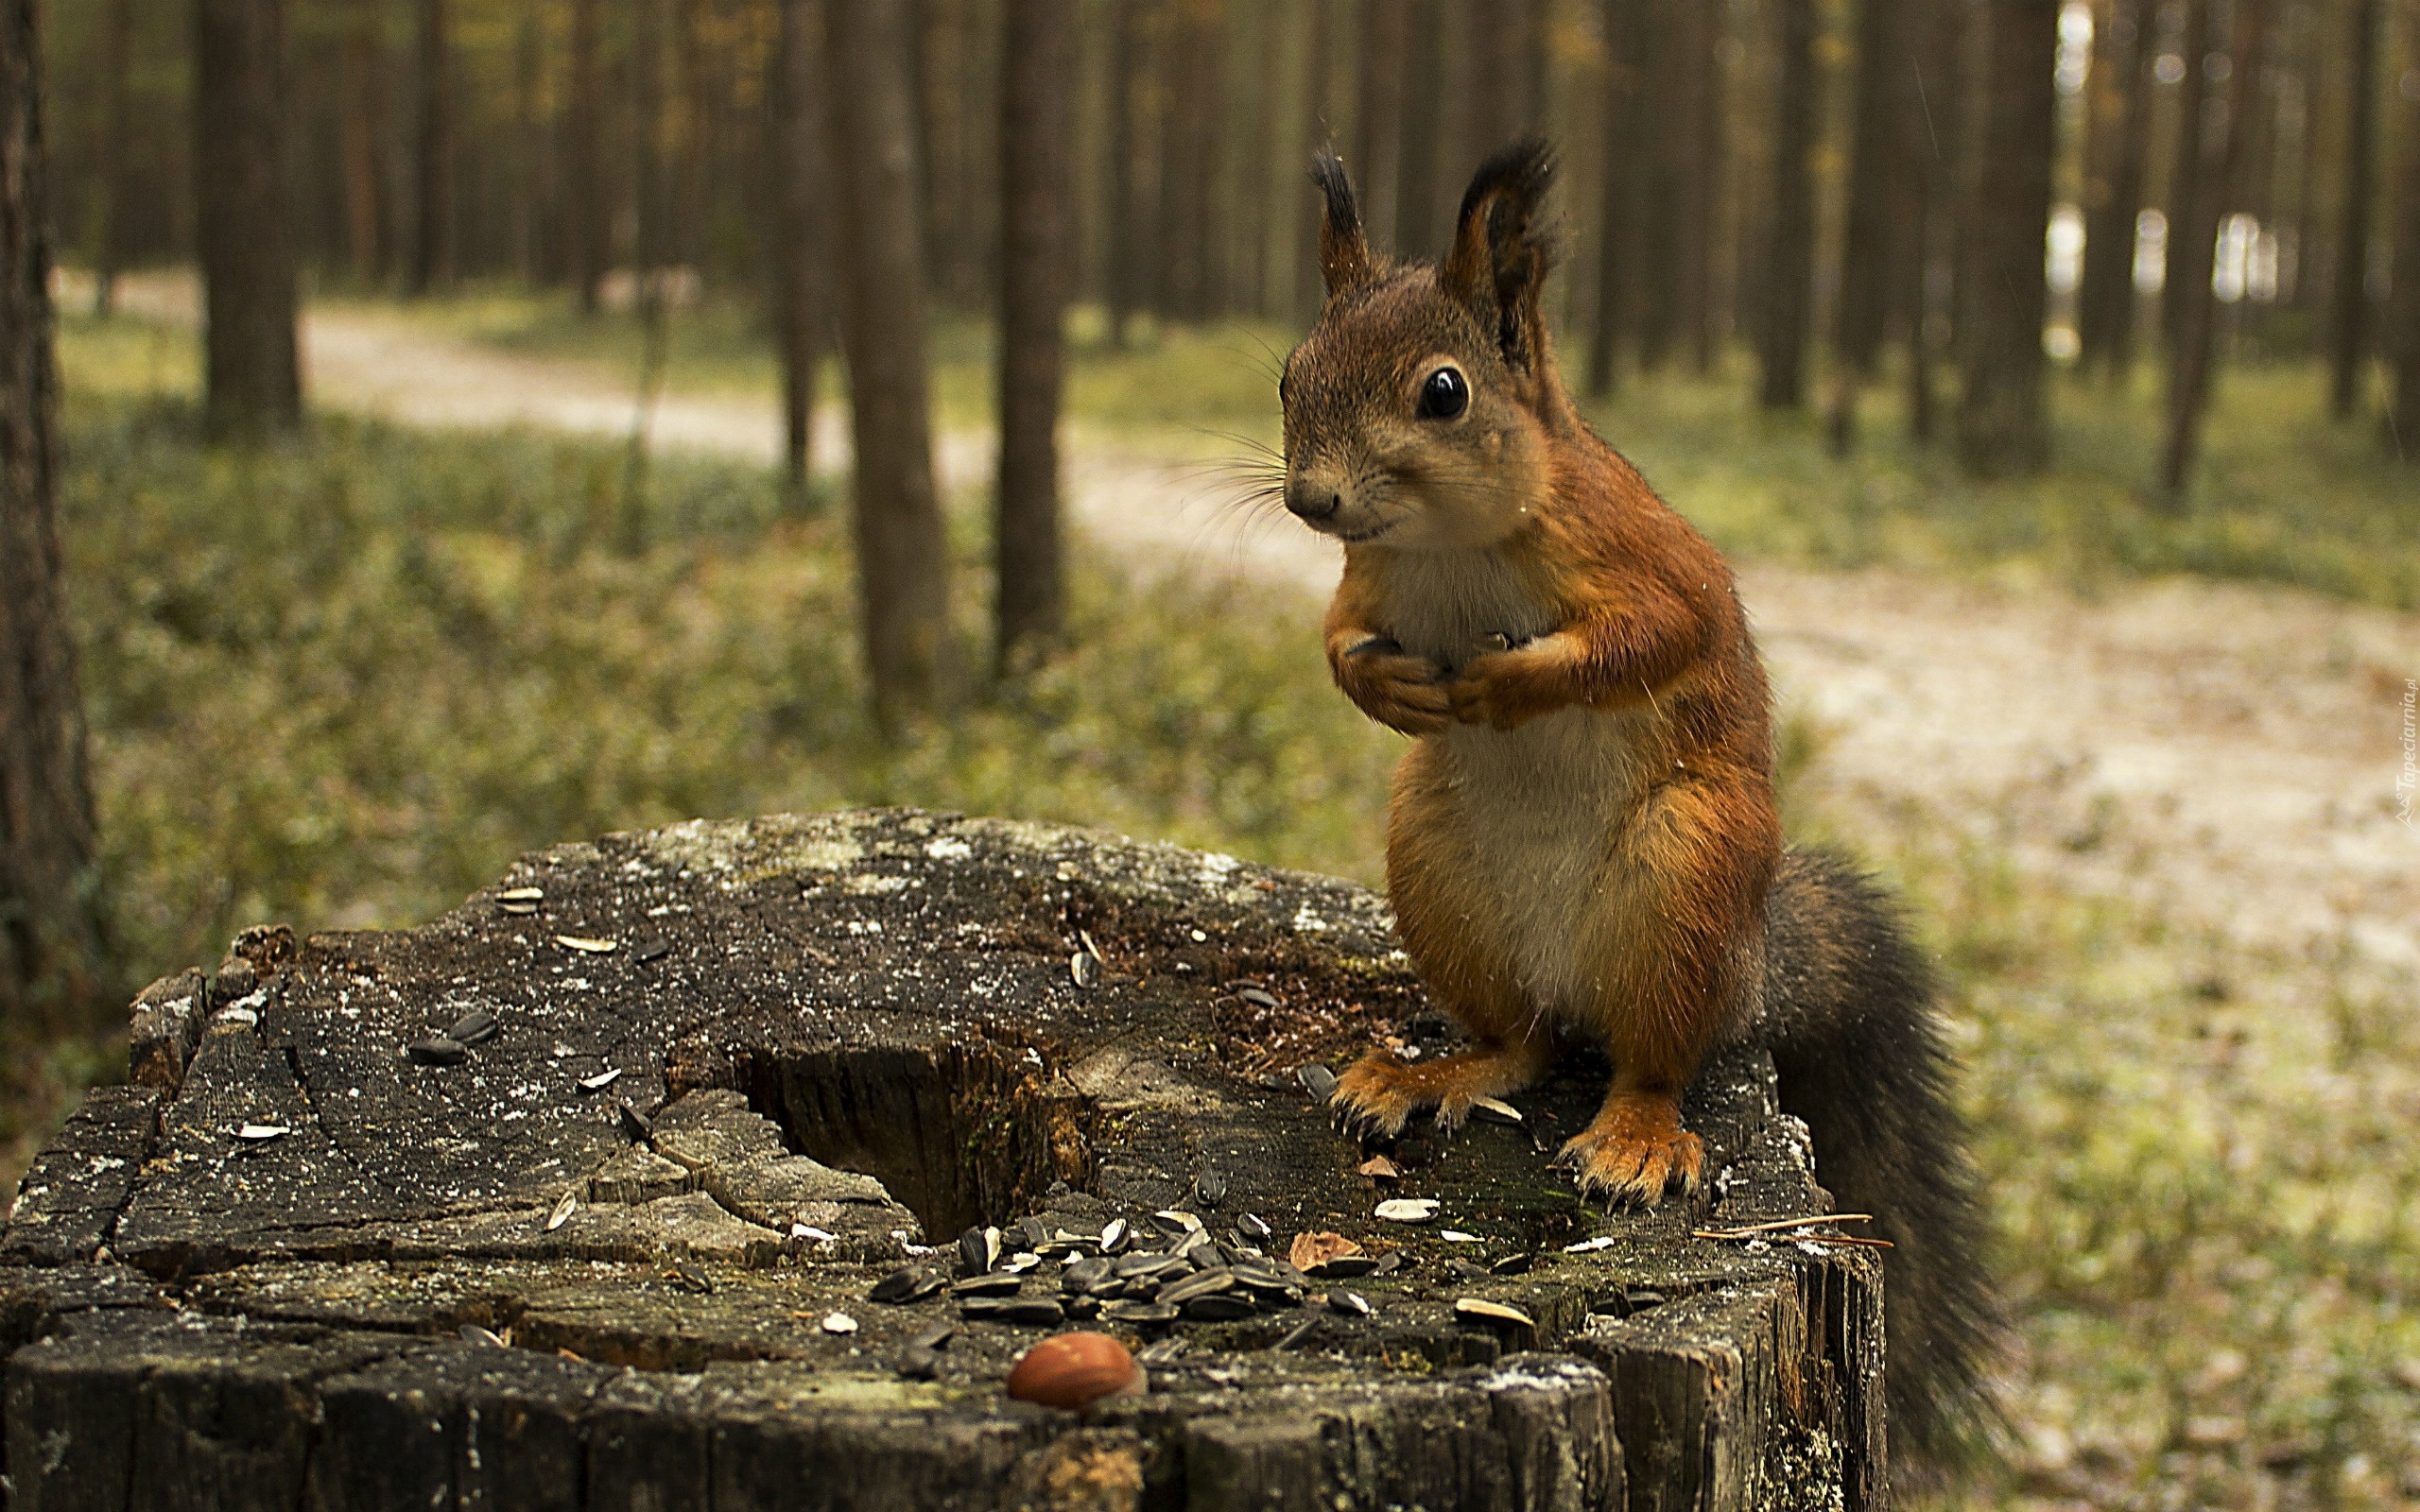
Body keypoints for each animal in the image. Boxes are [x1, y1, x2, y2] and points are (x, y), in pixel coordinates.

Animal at [1277, 138, 1994, 1461]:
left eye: (1443, 392)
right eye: (1290, 373)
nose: (1311, 500)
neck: (1452, 545)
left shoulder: (1642, 555)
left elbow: (1659, 633)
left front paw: (1510, 681)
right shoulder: (1369, 578)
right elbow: (1339, 634)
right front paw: (1386, 681)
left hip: (1685, 877)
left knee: (1651, 1060)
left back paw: (1636, 1141)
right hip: (1439, 869)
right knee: (1521, 1043)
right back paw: (1427, 1074)